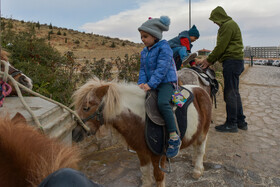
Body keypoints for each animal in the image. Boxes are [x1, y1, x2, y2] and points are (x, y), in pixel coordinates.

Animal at [72, 78, 212, 187]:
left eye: (86, 108)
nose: (74, 134)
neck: (140, 118)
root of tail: (201, 90)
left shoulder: (158, 155)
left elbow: (159, 176)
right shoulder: (141, 152)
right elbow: (145, 171)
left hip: (203, 132)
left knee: (201, 149)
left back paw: (197, 170)